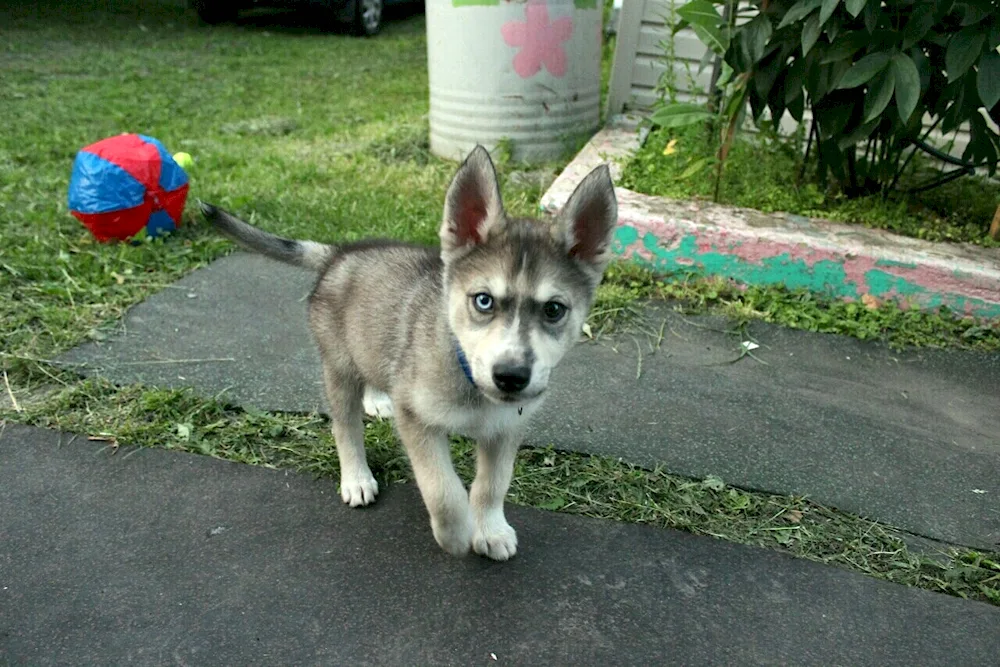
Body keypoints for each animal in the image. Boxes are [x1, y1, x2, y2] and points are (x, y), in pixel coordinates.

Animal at [201, 147, 616, 564]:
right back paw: (356, 477)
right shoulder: (417, 419)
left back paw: (377, 398)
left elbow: (492, 484)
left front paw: (491, 530)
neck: (469, 380)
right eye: (483, 301)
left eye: (553, 310)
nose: (511, 376)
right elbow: (442, 489)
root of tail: (339, 253)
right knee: (345, 426)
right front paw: (456, 533)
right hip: (338, 366)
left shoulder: (505, 428)